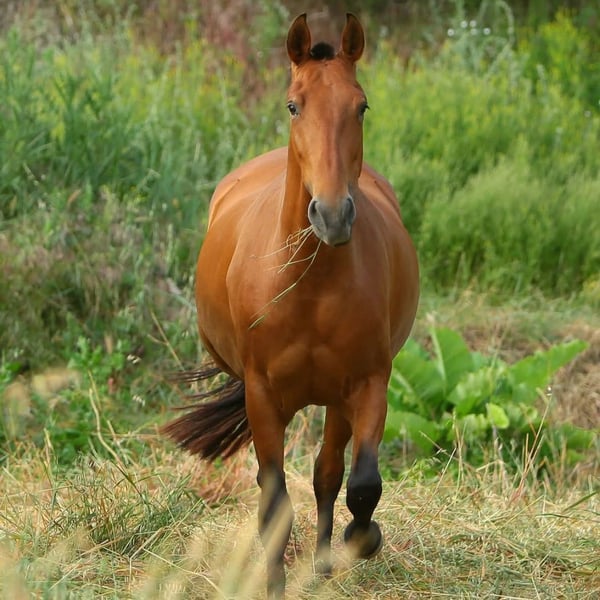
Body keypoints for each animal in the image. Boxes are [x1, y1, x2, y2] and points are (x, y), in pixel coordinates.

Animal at [162, 13, 419, 598]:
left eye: (361, 105)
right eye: (293, 105)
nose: (332, 214)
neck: (310, 290)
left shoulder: (367, 384)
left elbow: (360, 483)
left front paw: (359, 542)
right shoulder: (262, 395)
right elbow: (274, 496)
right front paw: (275, 581)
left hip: (337, 400)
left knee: (328, 472)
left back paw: (324, 560)